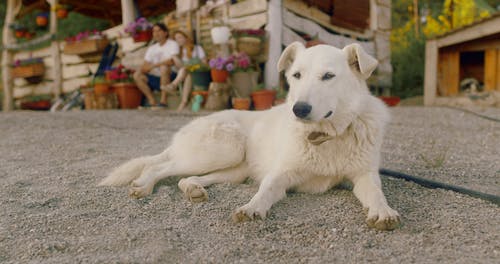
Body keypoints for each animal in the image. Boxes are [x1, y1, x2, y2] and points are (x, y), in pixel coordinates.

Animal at [99, 42, 400, 230]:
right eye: (296, 75)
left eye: (328, 76)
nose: (298, 109)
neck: (324, 136)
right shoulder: (281, 174)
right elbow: (265, 190)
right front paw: (252, 208)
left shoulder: (364, 175)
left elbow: (376, 193)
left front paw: (383, 211)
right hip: (222, 150)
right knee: (158, 166)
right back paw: (144, 185)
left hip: (234, 170)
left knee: (186, 177)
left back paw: (193, 189)